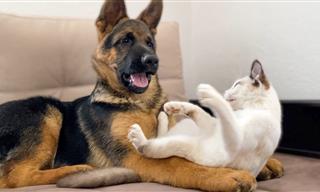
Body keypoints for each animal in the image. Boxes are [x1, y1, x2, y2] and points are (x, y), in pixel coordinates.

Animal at [129, 60, 282, 176]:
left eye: (236, 84)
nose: (225, 91)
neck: (252, 108)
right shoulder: (213, 126)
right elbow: (198, 110)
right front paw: (174, 106)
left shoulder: (235, 141)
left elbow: (223, 108)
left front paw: (208, 91)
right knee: (160, 134)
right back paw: (163, 114)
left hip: (178, 144)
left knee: (146, 147)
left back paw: (137, 135)